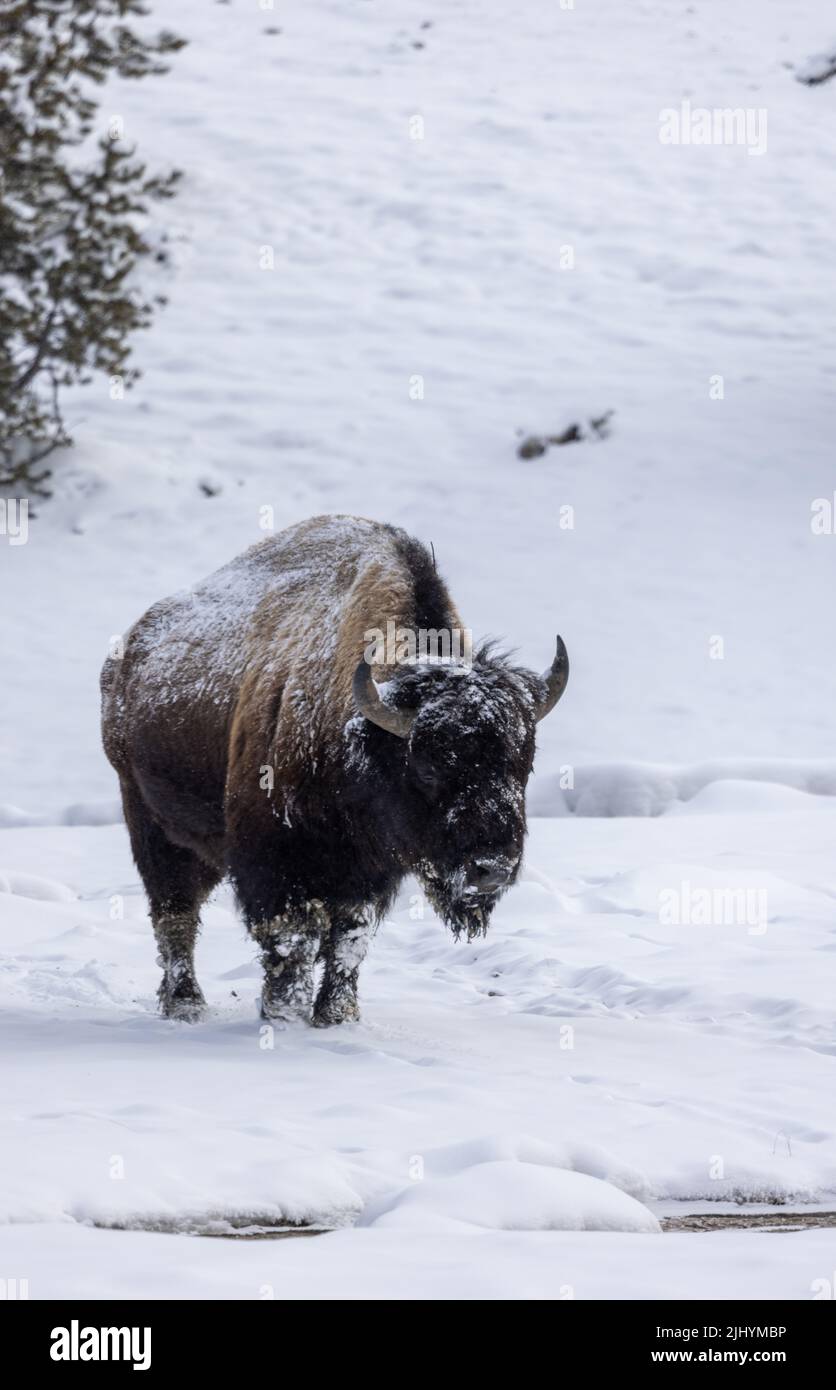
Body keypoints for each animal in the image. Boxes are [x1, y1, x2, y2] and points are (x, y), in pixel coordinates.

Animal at [99, 517, 567, 1028]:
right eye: (427, 767)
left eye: (523, 763)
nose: (491, 870)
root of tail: (124, 657)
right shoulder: (277, 863)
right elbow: (292, 941)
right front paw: (284, 1012)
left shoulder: (364, 874)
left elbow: (347, 940)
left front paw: (337, 1015)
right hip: (152, 824)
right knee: (175, 914)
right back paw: (186, 1004)